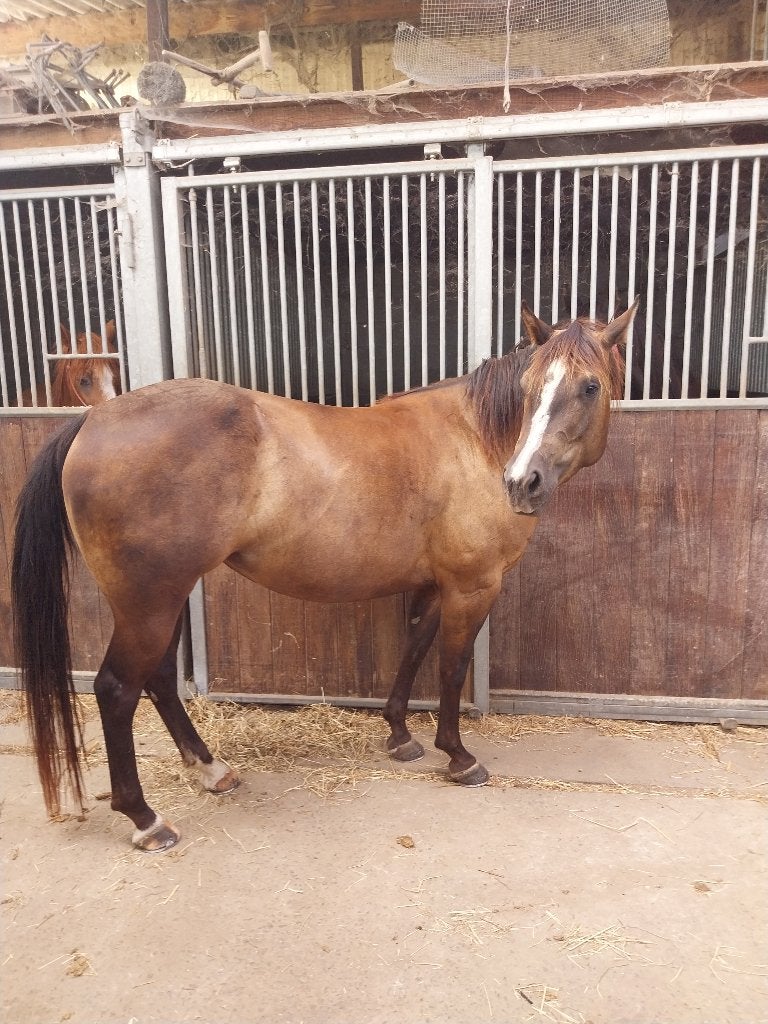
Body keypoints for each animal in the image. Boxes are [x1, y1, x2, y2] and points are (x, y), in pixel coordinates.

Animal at [12, 300, 637, 851]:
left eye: (589, 387)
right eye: (531, 386)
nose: (522, 483)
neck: (475, 442)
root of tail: (95, 421)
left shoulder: (436, 585)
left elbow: (413, 649)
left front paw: (400, 736)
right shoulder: (472, 585)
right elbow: (451, 666)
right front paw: (458, 757)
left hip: (165, 597)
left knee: (160, 679)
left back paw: (211, 771)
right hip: (148, 603)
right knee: (118, 690)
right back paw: (147, 819)